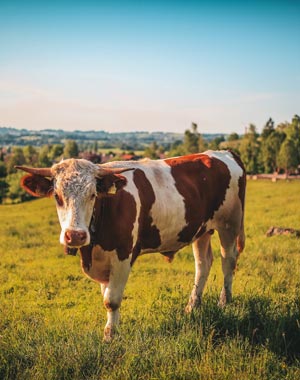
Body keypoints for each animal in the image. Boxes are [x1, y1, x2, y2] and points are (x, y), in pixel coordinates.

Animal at [15, 151, 246, 342]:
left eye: (92, 195)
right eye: (57, 196)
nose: (75, 235)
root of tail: (223, 152)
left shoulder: (123, 255)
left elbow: (112, 300)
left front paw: (110, 336)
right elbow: (106, 294)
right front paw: (111, 329)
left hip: (230, 223)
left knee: (228, 260)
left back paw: (224, 302)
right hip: (201, 230)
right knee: (203, 264)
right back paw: (192, 306)